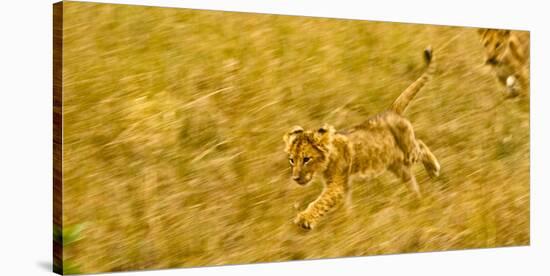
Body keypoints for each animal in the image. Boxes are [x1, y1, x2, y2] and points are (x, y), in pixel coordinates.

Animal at [284, 46, 440, 230]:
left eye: (306, 159)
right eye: (292, 160)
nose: (295, 178)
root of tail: (392, 110)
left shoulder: (336, 185)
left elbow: (321, 202)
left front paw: (304, 219)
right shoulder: (343, 184)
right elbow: (345, 204)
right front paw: (348, 222)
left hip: (408, 152)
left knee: (421, 145)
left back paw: (434, 170)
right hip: (396, 164)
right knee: (410, 178)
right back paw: (417, 200)